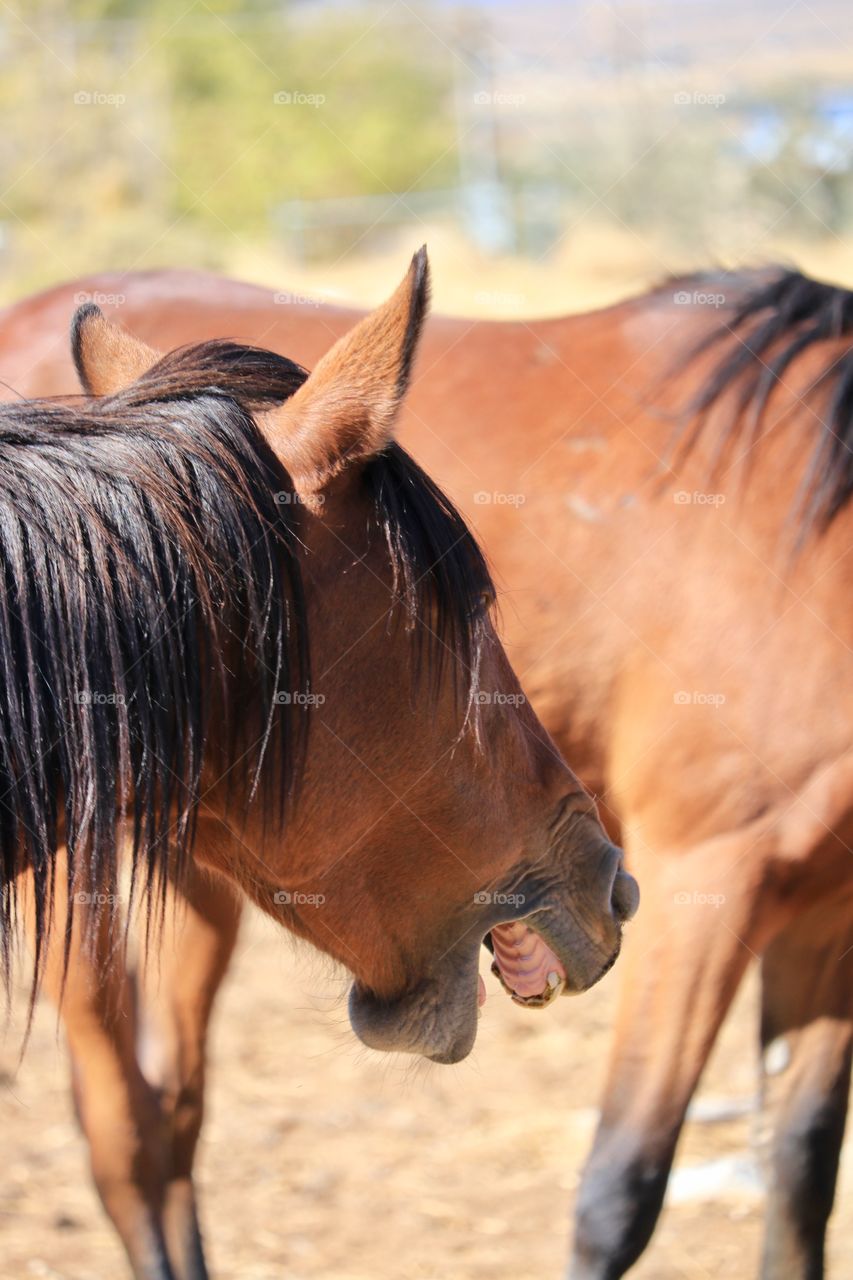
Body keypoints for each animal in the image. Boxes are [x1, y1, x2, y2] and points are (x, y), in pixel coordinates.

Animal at [3, 261, 851, 1279]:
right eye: (471, 615)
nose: (610, 884)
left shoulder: (829, 921)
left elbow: (799, 1169)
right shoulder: (713, 874)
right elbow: (620, 1188)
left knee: (171, 1114)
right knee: (124, 1132)